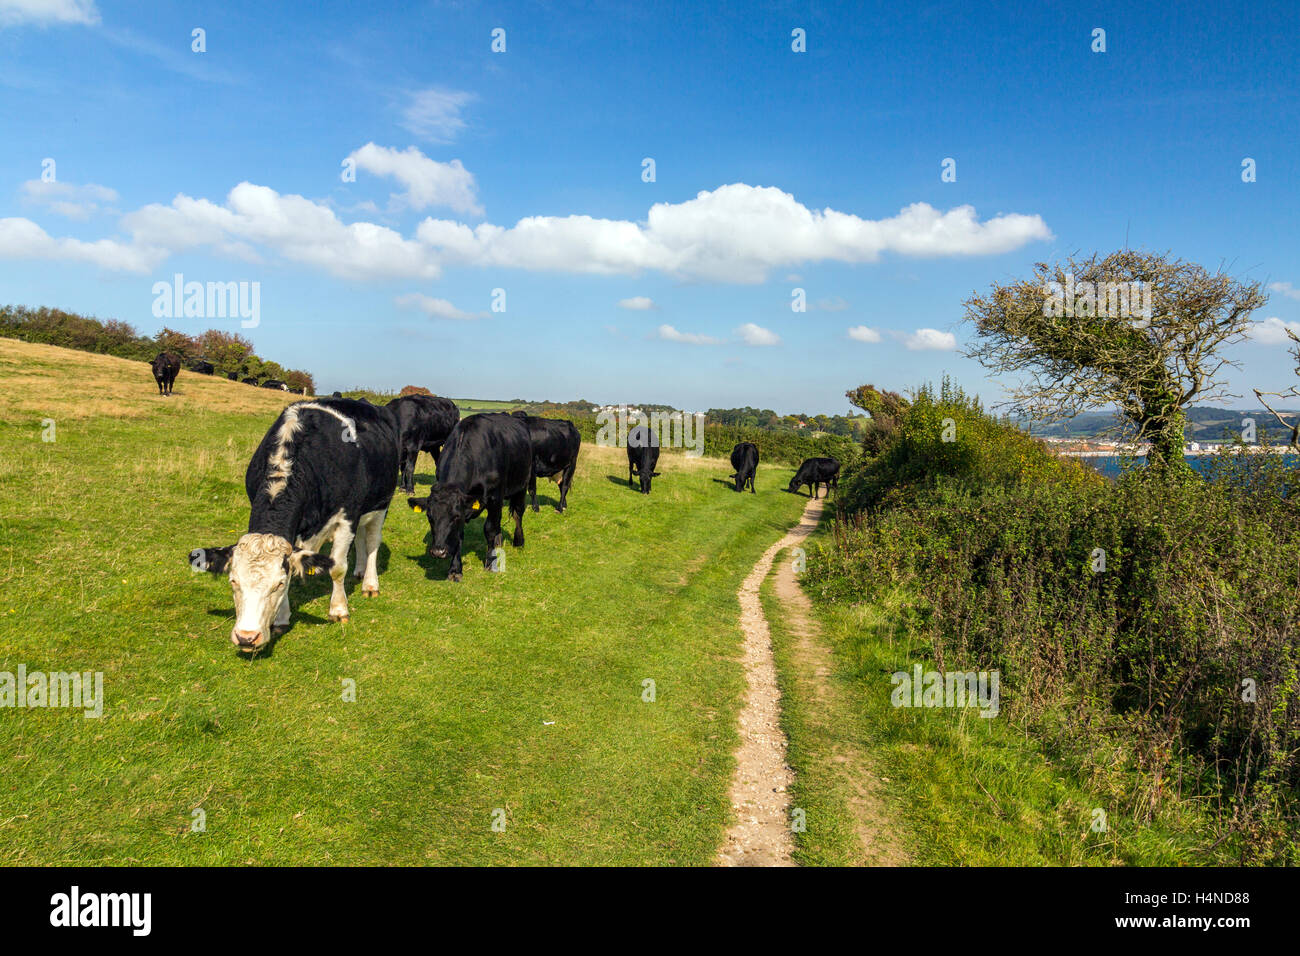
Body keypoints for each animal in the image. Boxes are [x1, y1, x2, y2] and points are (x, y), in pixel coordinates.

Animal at [184, 395, 395, 650]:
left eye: (278, 584)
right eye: (233, 581)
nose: (246, 637)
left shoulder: (348, 516)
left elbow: (337, 568)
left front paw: (339, 609)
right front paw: (282, 619)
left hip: (381, 503)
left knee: (372, 540)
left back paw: (370, 584)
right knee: (362, 539)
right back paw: (360, 571)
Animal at [403, 413, 530, 582]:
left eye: (455, 517)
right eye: (430, 516)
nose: (438, 552)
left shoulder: (494, 496)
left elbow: (490, 528)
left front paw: (490, 562)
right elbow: (459, 535)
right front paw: (455, 569)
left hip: (523, 484)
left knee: (517, 513)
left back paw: (518, 542)